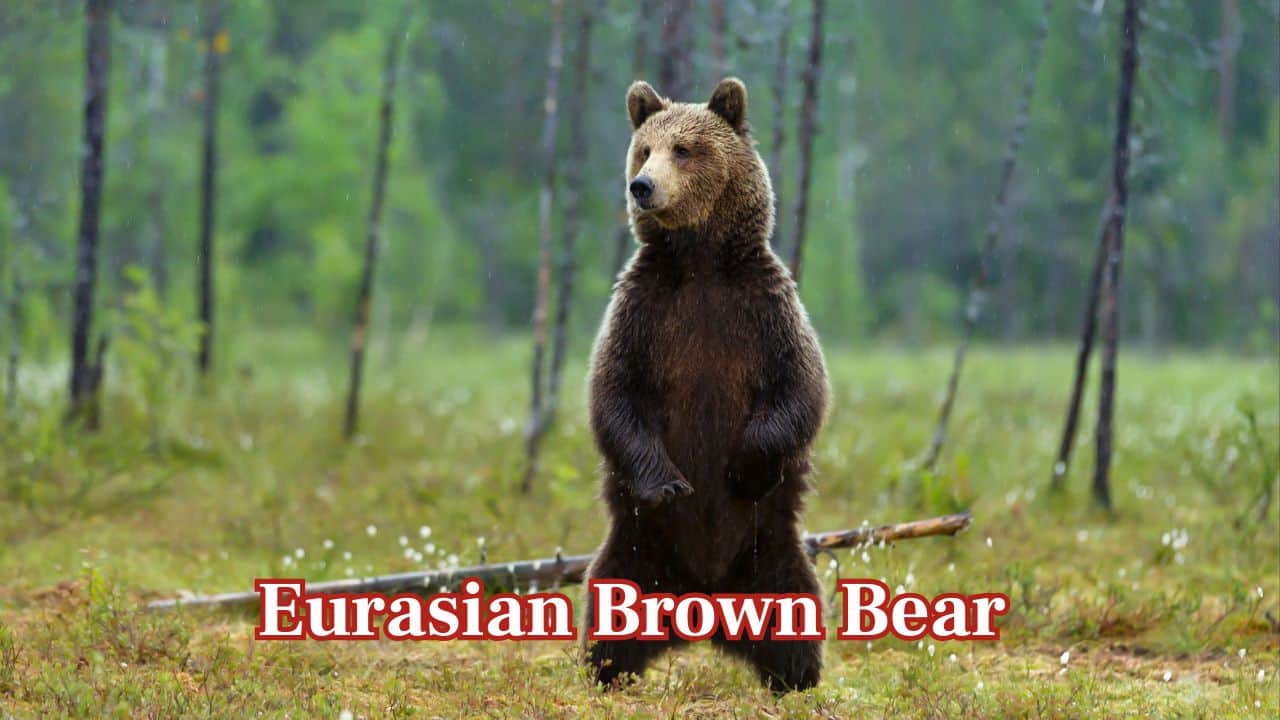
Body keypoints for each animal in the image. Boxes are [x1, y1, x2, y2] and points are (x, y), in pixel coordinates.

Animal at [582, 77, 831, 693]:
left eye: (685, 150)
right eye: (645, 149)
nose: (642, 186)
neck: (698, 263)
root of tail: (705, 599)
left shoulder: (762, 308)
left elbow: (800, 388)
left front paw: (744, 467)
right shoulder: (645, 310)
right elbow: (615, 395)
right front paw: (671, 483)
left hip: (771, 551)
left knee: (795, 610)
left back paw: (797, 676)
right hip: (636, 552)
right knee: (609, 608)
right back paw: (605, 669)